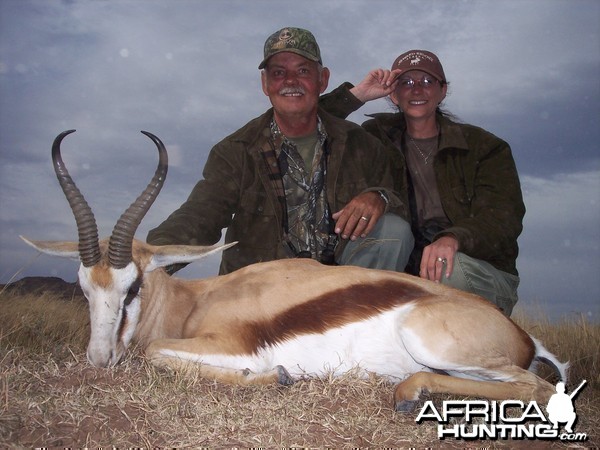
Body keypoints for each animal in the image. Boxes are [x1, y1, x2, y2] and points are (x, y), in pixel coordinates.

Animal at [22, 129, 568, 412]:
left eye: (132, 286)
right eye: (83, 287)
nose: (98, 360)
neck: (193, 302)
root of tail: (523, 335)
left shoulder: (232, 346)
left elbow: (157, 354)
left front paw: (275, 378)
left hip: (432, 343)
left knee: (539, 387)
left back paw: (409, 393)